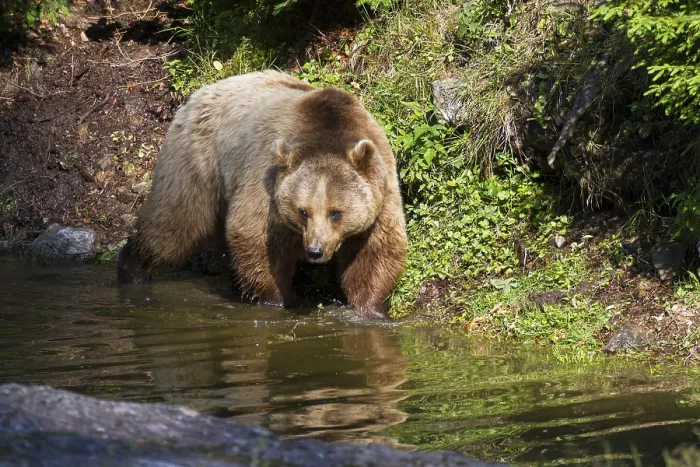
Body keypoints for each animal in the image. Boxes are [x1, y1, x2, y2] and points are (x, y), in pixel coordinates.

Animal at [117, 70, 407, 320]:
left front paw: (372, 309)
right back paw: (131, 268)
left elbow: (376, 251)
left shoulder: (382, 190)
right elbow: (254, 236)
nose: (315, 250)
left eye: (336, 212)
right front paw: (276, 299)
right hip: (198, 159)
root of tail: (200, 92)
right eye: (303, 210)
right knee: (175, 221)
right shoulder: (266, 179)